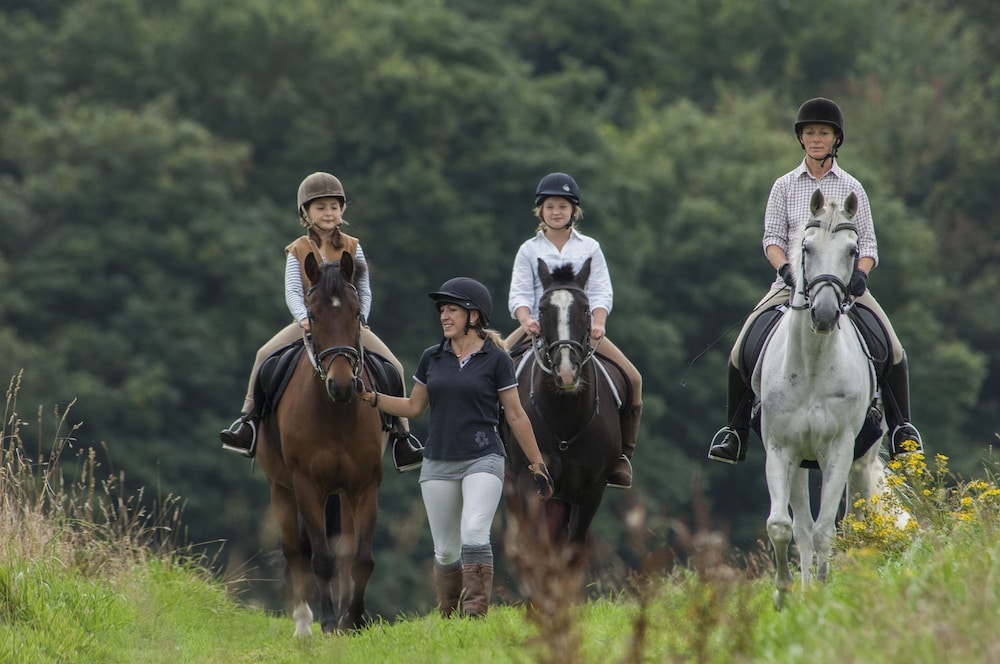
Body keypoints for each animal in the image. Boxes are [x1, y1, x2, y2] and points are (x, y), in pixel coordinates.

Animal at [256, 252, 384, 636]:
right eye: (312, 315)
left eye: (356, 312)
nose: (341, 385)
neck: (335, 413)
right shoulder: (307, 485)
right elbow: (321, 559)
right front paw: (328, 623)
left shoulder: (365, 485)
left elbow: (361, 559)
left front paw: (353, 620)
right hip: (281, 488)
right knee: (295, 550)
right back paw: (304, 623)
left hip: (341, 494)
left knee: (343, 552)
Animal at [504, 260, 628, 564]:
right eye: (542, 310)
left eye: (585, 308)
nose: (566, 371)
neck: (565, 418)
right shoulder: (531, 485)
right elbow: (540, 549)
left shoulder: (591, 491)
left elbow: (573, 550)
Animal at [752, 189, 888, 608]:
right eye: (807, 247)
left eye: (851, 250)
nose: (825, 313)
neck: (812, 363)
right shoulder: (781, 449)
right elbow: (783, 526)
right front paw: (783, 593)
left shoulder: (839, 451)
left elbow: (828, 529)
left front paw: (824, 596)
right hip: (799, 463)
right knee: (802, 528)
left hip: (860, 460)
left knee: (858, 522)